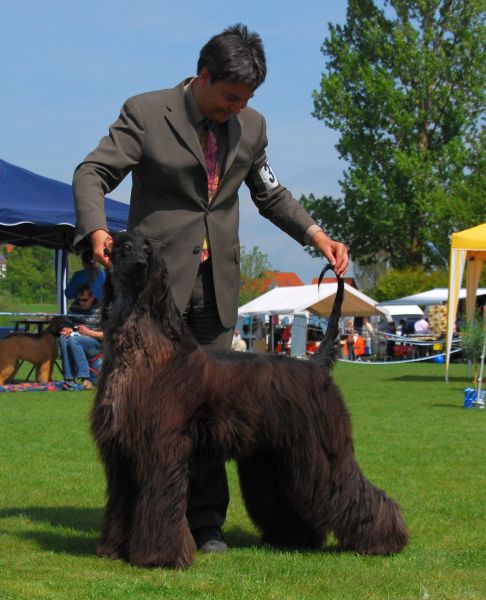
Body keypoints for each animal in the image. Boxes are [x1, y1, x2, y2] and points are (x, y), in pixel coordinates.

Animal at [91, 233, 408, 569]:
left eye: (148, 252)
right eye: (124, 248)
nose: (139, 265)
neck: (142, 350)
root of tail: (315, 365)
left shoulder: (162, 446)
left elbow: (161, 503)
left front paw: (158, 556)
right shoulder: (121, 452)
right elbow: (122, 502)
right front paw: (113, 549)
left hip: (323, 449)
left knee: (350, 488)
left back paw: (384, 540)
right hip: (276, 455)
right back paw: (295, 537)